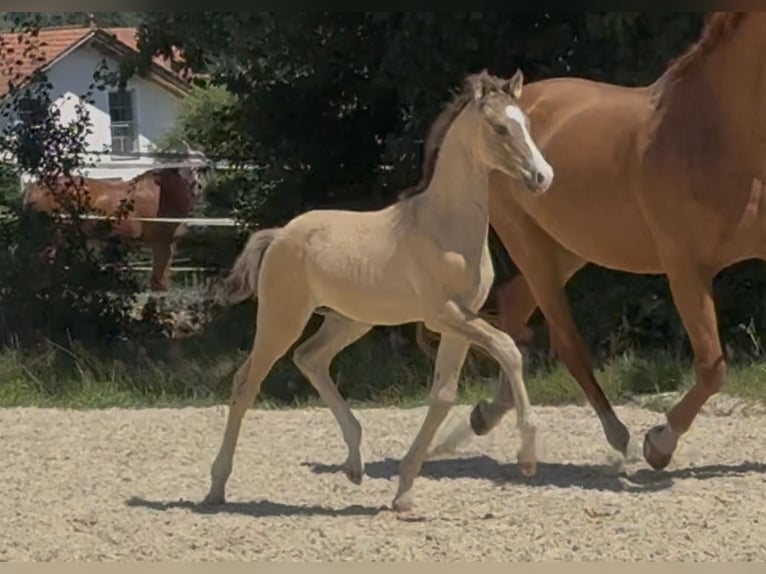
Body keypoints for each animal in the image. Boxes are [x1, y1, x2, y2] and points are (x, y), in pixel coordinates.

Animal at [22, 161, 212, 291]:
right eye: (184, 169)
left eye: (201, 169)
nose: (197, 187)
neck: (162, 195)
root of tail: (34, 188)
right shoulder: (160, 243)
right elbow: (159, 282)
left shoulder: (169, 244)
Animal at [203, 69, 554, 512]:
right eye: (499, 127)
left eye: (526, 123)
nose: (543, 177)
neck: (445, 227)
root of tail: (280, 234)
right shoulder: (444, 314)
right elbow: (509, 348)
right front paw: (527, 456)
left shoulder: (460, 322)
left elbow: (443, 395)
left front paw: (403, 493)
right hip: (282, 318)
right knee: (246, 382)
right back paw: (216, 488)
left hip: (350, 320)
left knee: (310, 358)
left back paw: (354, 465)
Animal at [427, 12, 766, 472]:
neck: (719, 133)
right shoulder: (685, 269)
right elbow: (713, 367)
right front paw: (659, 443)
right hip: (528, 242)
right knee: (566, 340)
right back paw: (616, 434)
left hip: (570, 248)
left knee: (514, 305)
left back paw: (484, 415)